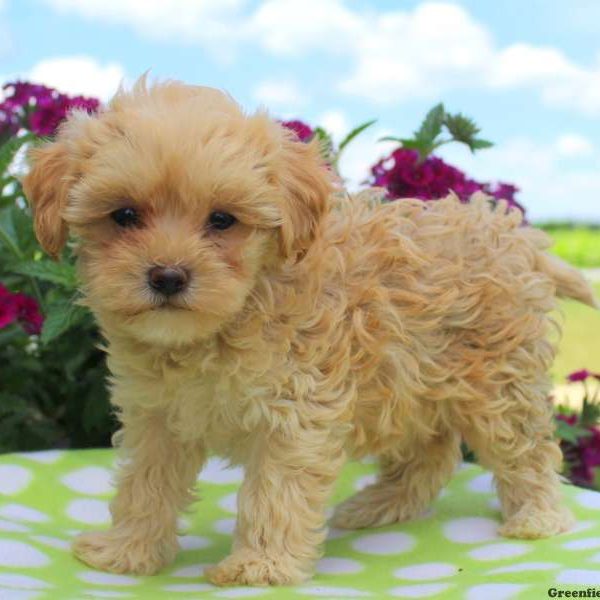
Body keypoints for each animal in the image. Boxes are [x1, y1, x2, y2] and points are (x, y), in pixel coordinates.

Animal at [22, 78, 596, 584]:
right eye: (123, 215)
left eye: (223, 220)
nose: (166, 276)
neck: (220, 327)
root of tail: (517, 240)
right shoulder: (156, 416)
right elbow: (145, 485)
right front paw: (128, 552)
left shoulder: (294, 413)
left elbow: (275, 493)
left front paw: (260, 566)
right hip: (411, 381)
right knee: (431, 454)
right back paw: (377, 507)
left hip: (497, 384)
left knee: (525, 449)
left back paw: (537, 518)